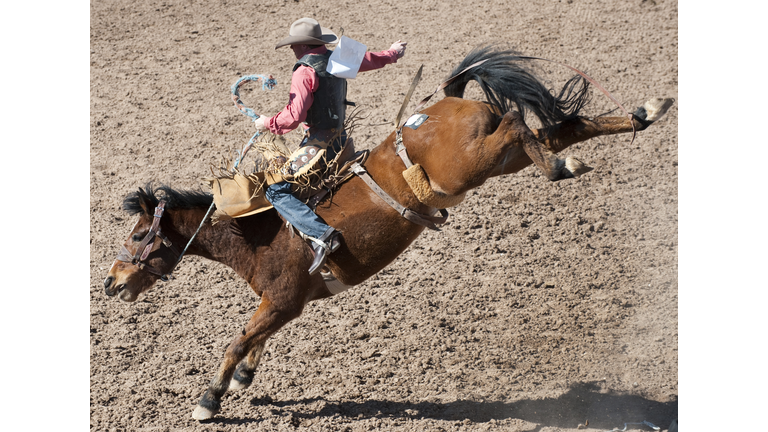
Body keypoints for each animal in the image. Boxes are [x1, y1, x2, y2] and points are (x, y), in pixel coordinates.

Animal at [102, 46, 672, 418]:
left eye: (138, 236)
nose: (110, 283)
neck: (258, 230)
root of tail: (446, 101)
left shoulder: (283, 298)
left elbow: (237, 339)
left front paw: (209, 399)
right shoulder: (285, 304)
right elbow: (254, 339)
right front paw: (243, 378)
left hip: (473, 163)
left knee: (518, 122)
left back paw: (563, 167)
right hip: (494, 163)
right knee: (557, 128)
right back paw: (643, 113)